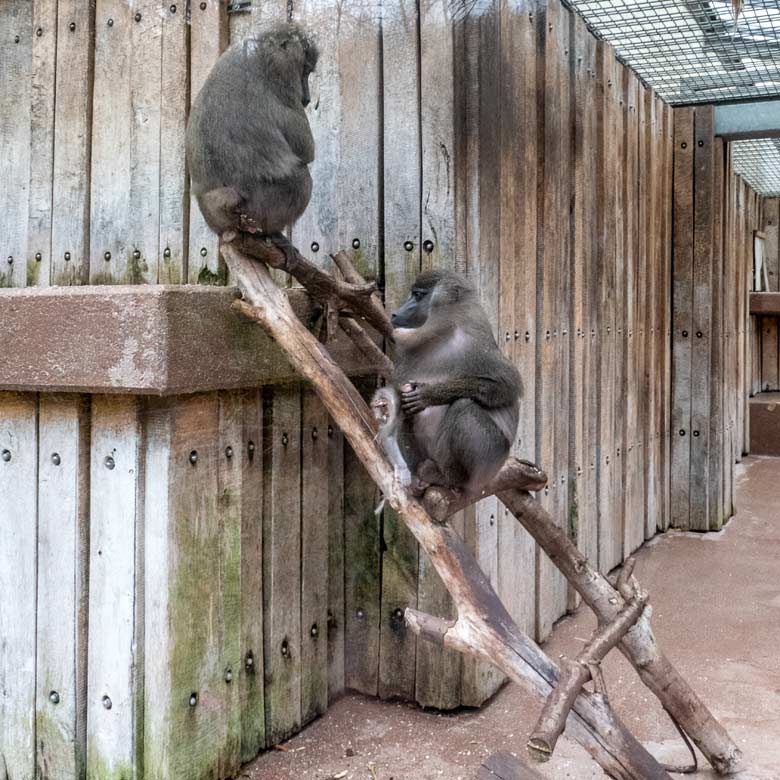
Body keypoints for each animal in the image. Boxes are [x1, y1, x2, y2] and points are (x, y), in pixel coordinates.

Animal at [185, 22, 316, 256]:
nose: (307, 98)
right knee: (302, 179)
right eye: (305, 70)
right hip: (256, 215)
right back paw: (273, 234)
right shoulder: (283, 83)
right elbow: (306, 151)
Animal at [374, 268, 524, 502]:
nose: (395, 314)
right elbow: (397, 401)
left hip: (489, 462)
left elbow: (507, 386)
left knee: (464, 407)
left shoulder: (475, 342)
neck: (441, 333)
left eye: (418, 295)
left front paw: (429, 394)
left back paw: (446, 478)